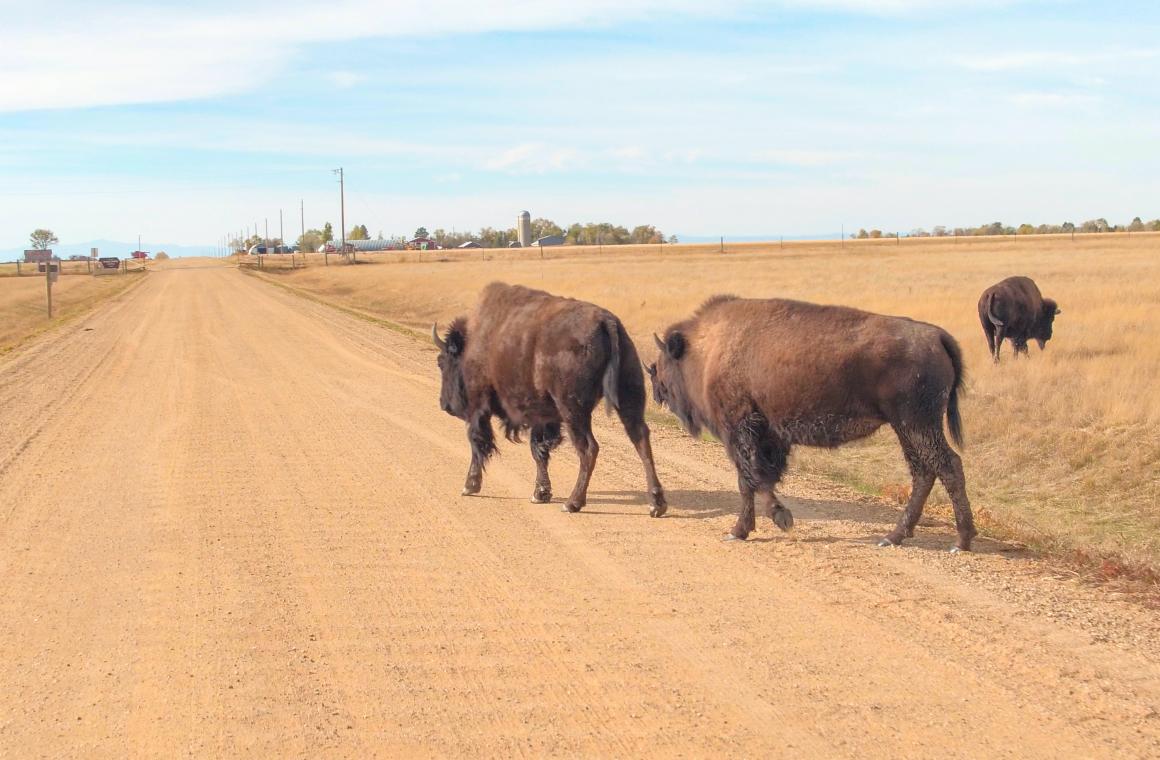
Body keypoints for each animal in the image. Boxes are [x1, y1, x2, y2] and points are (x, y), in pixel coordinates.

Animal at [431, 284, 668, 517]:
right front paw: (540, 493)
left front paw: (470, 485)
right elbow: (539, 451)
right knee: (641, 440)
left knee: (589, 448)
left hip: (573, 410)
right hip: (628, 399)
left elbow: (477, 441)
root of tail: (607, 321)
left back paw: (573, 503)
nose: (445, 404)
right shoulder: (542, 417)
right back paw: (656, 504)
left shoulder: (479, 407)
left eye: (442, 362)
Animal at [649, 295, 974, 552]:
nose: (656, 386)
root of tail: (936, 336)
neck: (709, 347)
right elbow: (756, 479)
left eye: (666, 360)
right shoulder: (765, 436)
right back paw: (893, 537)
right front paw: (753, 526)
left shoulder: (739, 431)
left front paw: (758, 525)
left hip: (917, 424)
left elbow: (749, 479)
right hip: (906, 427)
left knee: (948, 466)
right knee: (923, 472)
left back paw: (960, 541)